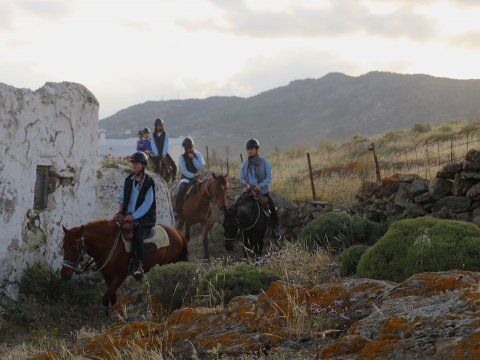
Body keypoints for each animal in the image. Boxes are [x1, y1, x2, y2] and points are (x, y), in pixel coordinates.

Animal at [60, 219, 188, 312]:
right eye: (63, 247)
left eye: (74, 248)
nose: (64, 274)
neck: (108, 244)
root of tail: (177, 233)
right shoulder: (107, 276)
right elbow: (112, 297)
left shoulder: (120, 276)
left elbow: (105, 298)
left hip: (170, 263)